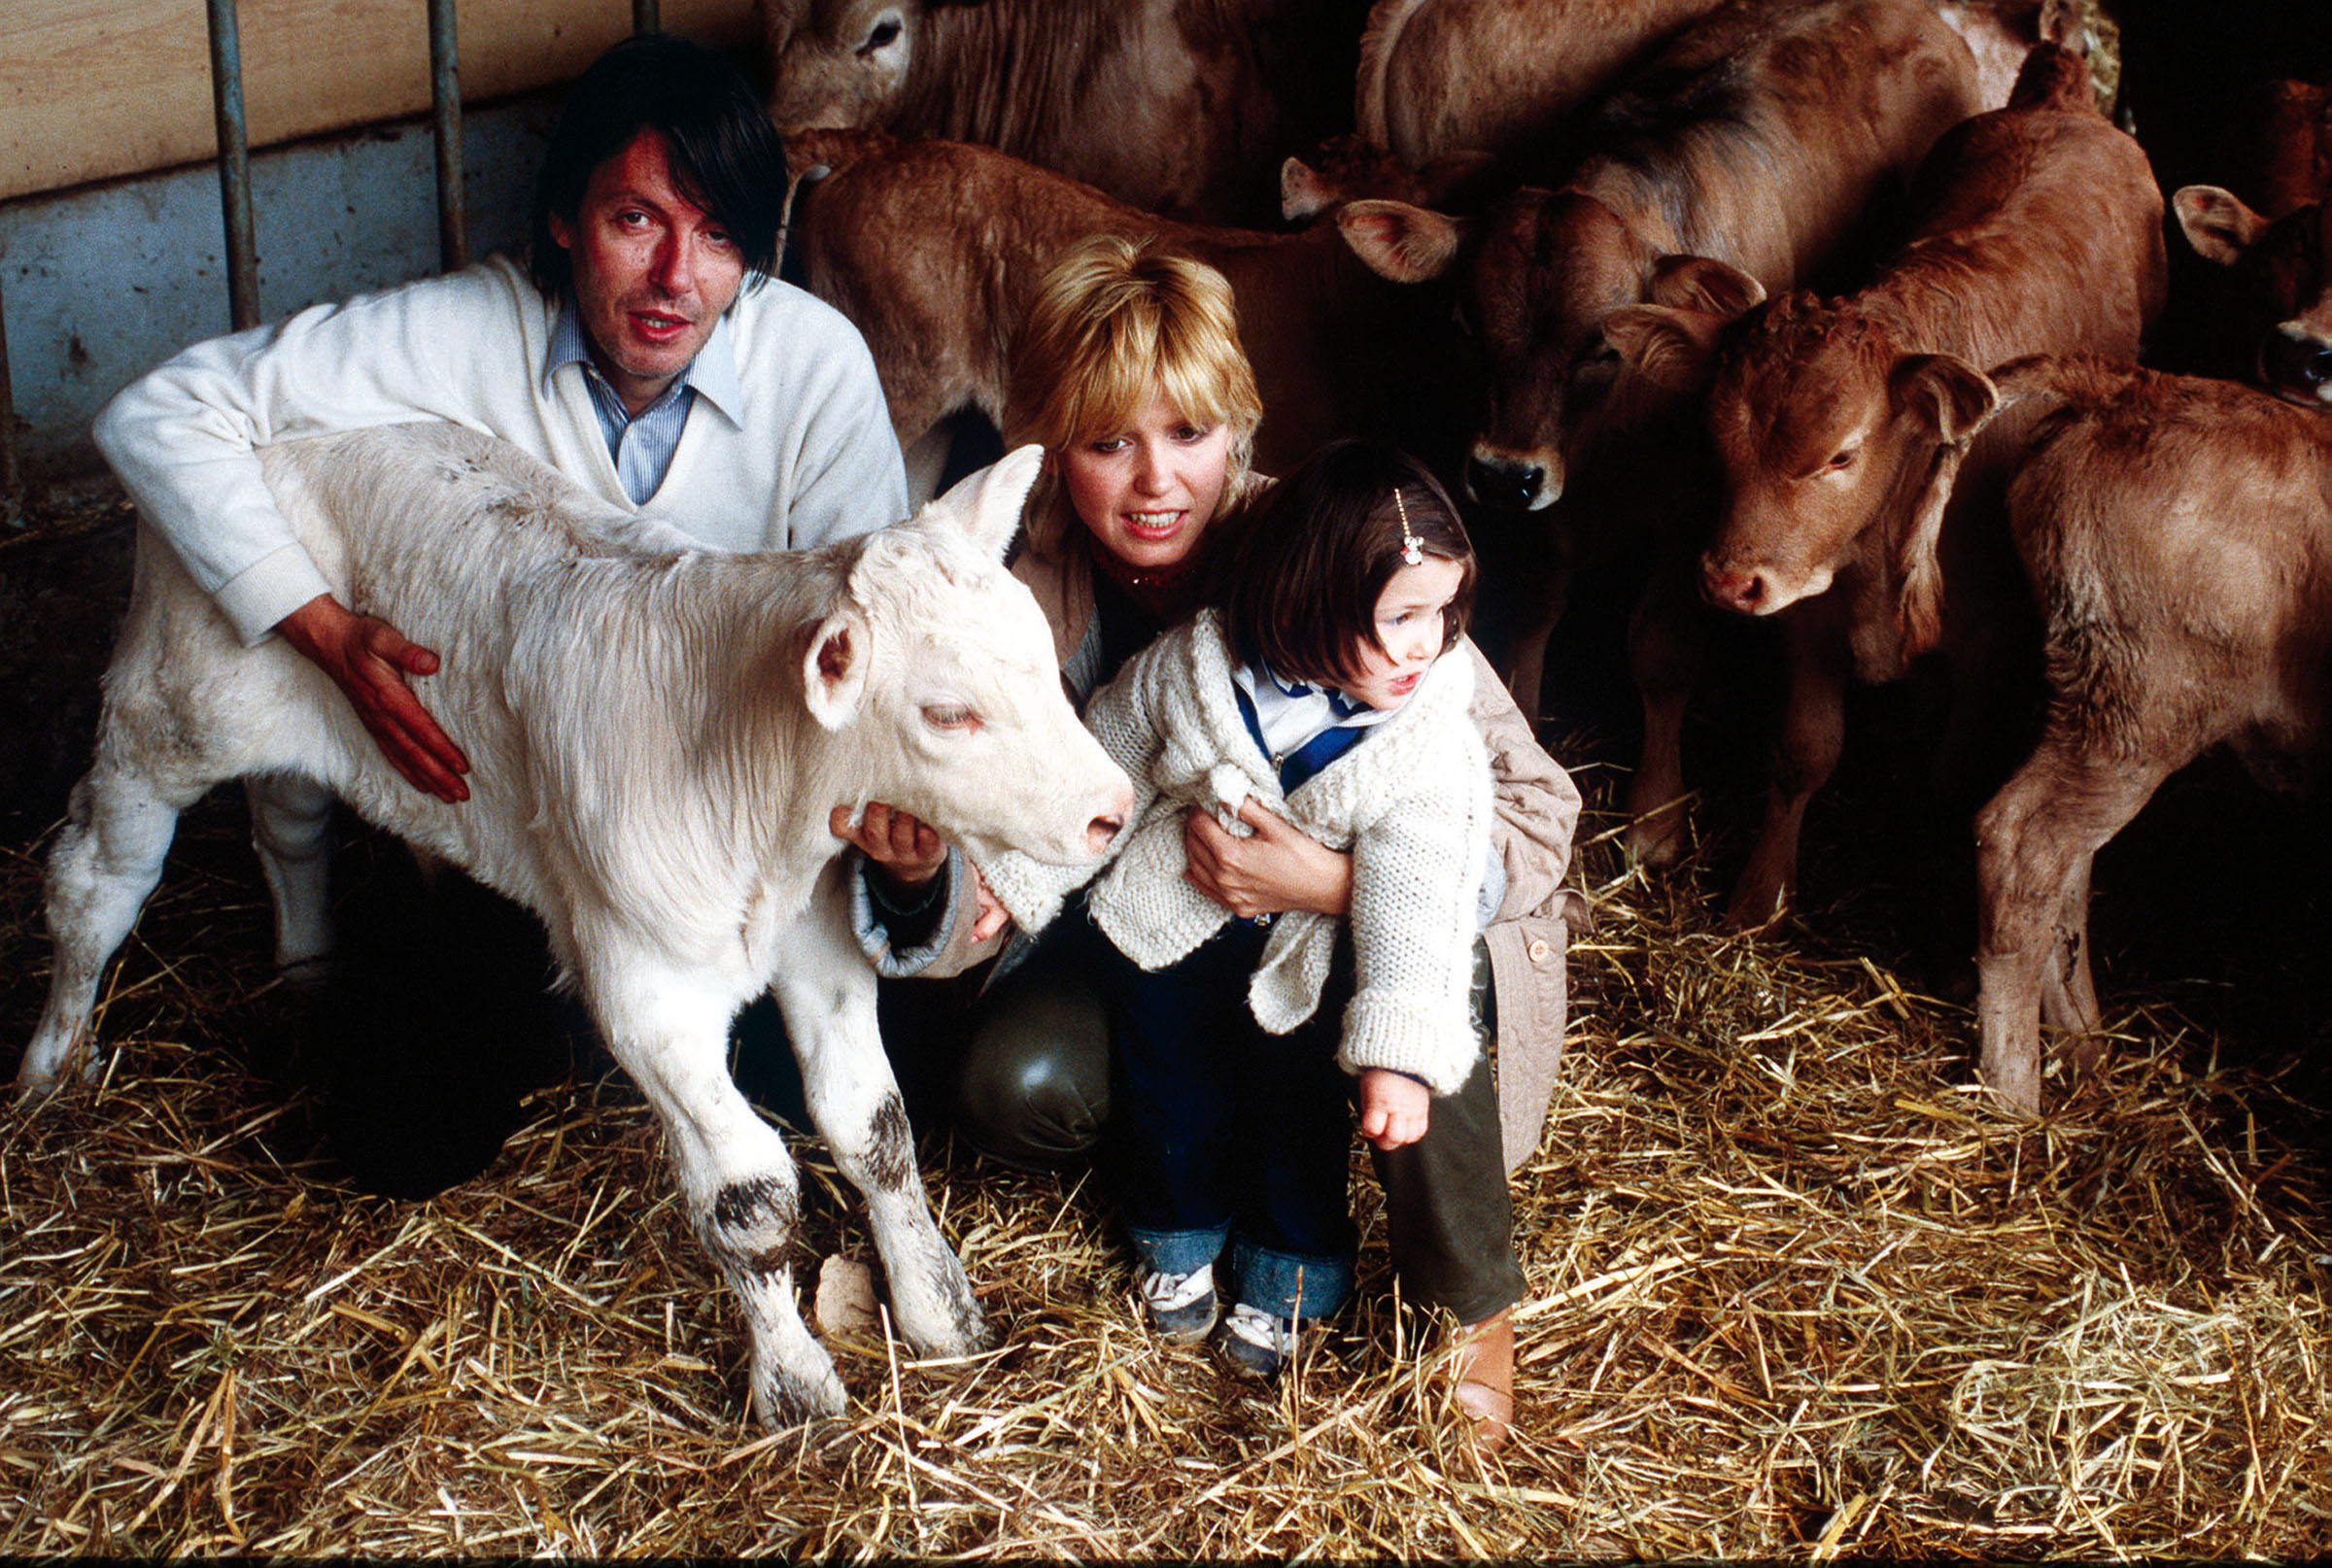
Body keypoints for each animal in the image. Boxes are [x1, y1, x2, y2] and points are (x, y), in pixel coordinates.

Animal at [17, 425, 1128, 1418]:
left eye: (1041, 656)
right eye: (948, 713)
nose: (1110, 809)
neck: (751, 789)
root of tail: (281, 437)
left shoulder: (816, 938)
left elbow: (875, 1129)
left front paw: (941, 1313)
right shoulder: (645, 991)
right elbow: (748, 1198)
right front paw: (797, 1388)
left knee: (287, 824)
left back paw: (306, 969)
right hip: (169, 709)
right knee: (95, 877)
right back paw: (52, 1066)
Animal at [1343, 0, 1977, 728]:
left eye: (1602, 348)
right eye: (1466, 328)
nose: (1503, 476)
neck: (1617, 444)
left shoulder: (1696, 520)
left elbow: (1662, 654)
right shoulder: (1556, 500)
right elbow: (1536, 608)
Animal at [1968, 355, 2332, 1115]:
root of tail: (2127, 385)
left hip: (2098, 712)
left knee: (2064, 876)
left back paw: (2084, 1051)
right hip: (2140, 714)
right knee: (2022, 846)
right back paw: (2015, 1097)